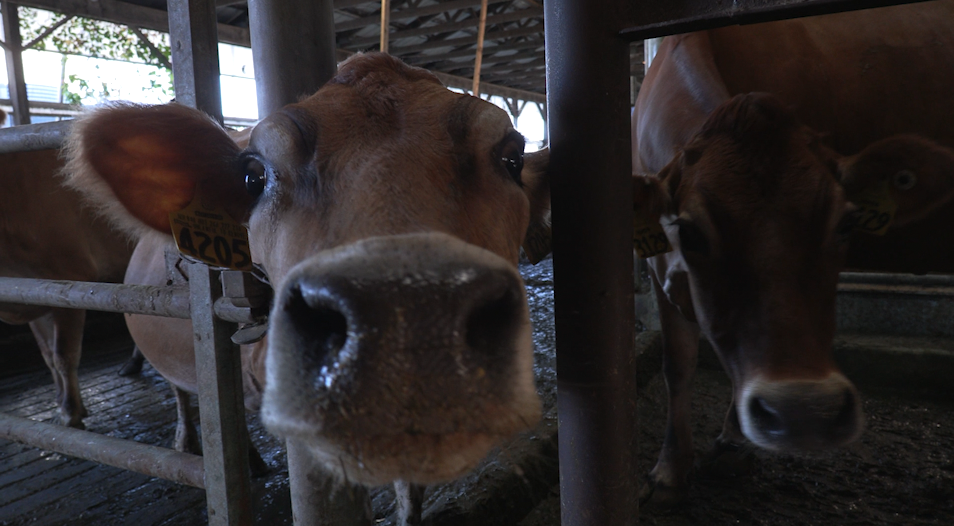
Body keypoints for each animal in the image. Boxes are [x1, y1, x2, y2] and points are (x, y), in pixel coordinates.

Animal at [0, 148, 135, 429]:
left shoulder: (70, 278)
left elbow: (64, 355)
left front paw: (70, 412)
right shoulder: (28, 292)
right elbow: (48, 356)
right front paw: (63, 402)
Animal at [632, 1, 954, 506]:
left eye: (846, 223)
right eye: (689, 231)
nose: (806, 412)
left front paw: (732, 446)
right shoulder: (658, 268)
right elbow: (678, 366)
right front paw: (668, 471)